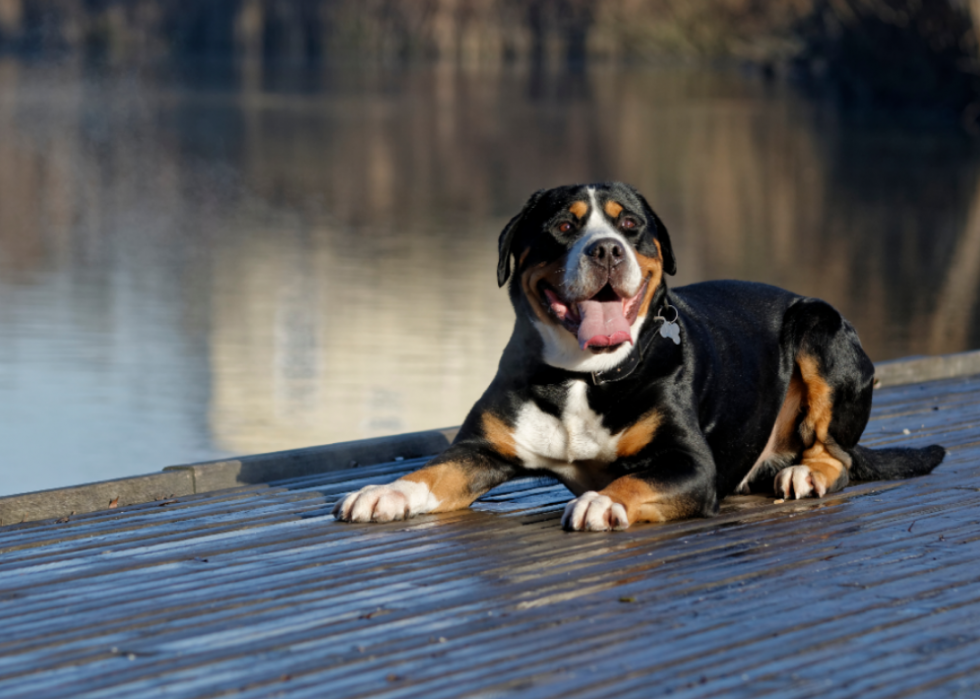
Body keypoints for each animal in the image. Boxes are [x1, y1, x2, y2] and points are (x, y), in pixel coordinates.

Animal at [334, 183, 944, 532]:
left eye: (631, 225)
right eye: (564, 225)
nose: (607, 249)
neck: (582, 377)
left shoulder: (689, 464)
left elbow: (632, 482)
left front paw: (604, 502)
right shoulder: (481, 449)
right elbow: (433, 472)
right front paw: (386, 492)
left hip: (819, 325)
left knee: (836, 455)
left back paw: (805, 474)